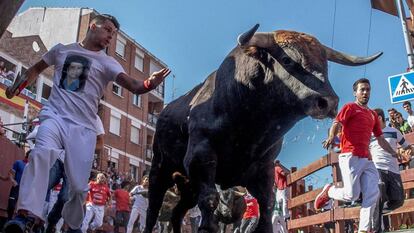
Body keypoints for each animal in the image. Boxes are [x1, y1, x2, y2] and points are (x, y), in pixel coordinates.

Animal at [143, 24, 382, 232]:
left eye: (324, 63)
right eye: (286, 59)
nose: (329, 102)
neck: (251, 127)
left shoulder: (264, 168)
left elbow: (266, 206)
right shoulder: (200, 157)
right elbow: (210, 199)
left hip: (187, 185)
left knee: (176, 213)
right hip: (160, 169)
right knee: (153, 209)